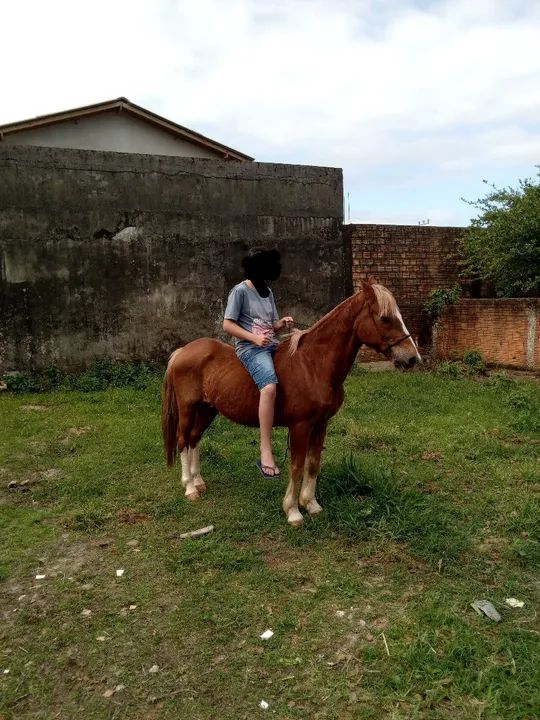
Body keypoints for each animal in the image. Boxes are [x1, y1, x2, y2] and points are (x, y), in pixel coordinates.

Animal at [162, 280, 421, 527]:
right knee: (183, 440)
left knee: (194, 439)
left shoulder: (320, 424)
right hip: (188, 410)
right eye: (385, 318)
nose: (412, 358)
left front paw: (311, 504)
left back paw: (198, 481)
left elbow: (313, 463)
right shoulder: (300, 426)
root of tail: (183, 351)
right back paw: (190, 487)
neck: (313, 365)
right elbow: (296, 467)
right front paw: (293, 511)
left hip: (207, 410)